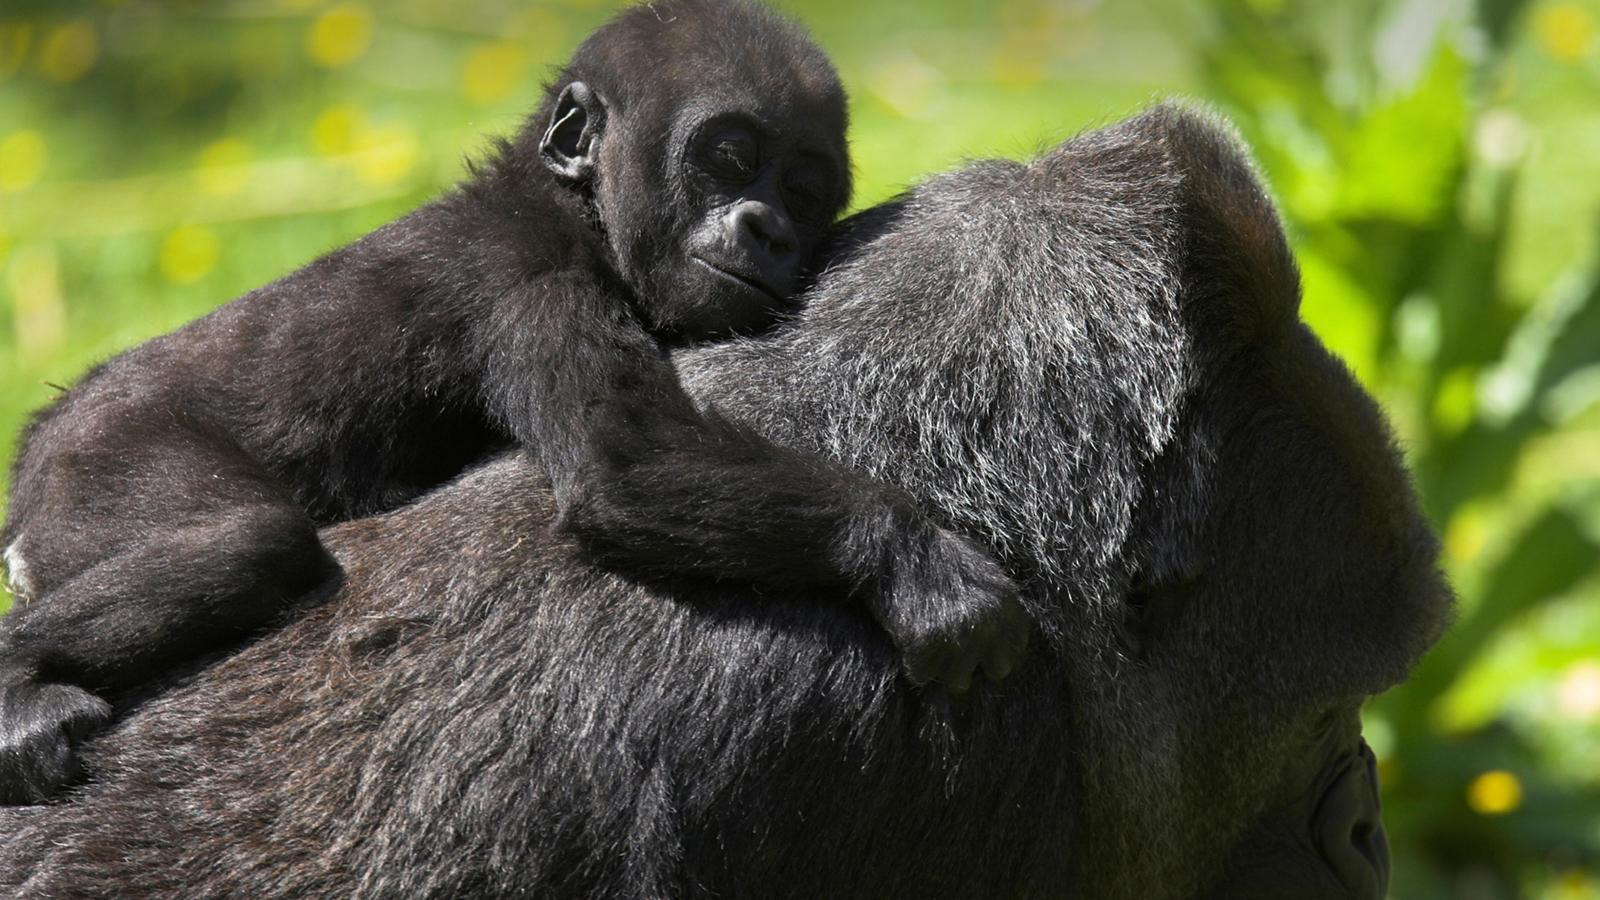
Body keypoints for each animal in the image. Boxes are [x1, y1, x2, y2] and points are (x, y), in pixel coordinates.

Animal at [0, 0, 1028, 805]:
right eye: (730, 158)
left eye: (805, 189)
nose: (768, 228)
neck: (567, 200)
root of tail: (44, 436)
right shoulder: (529, 282)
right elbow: (628, 468)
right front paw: (905, 553)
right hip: (100, 455)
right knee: (251, 541)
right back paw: (19, 675)